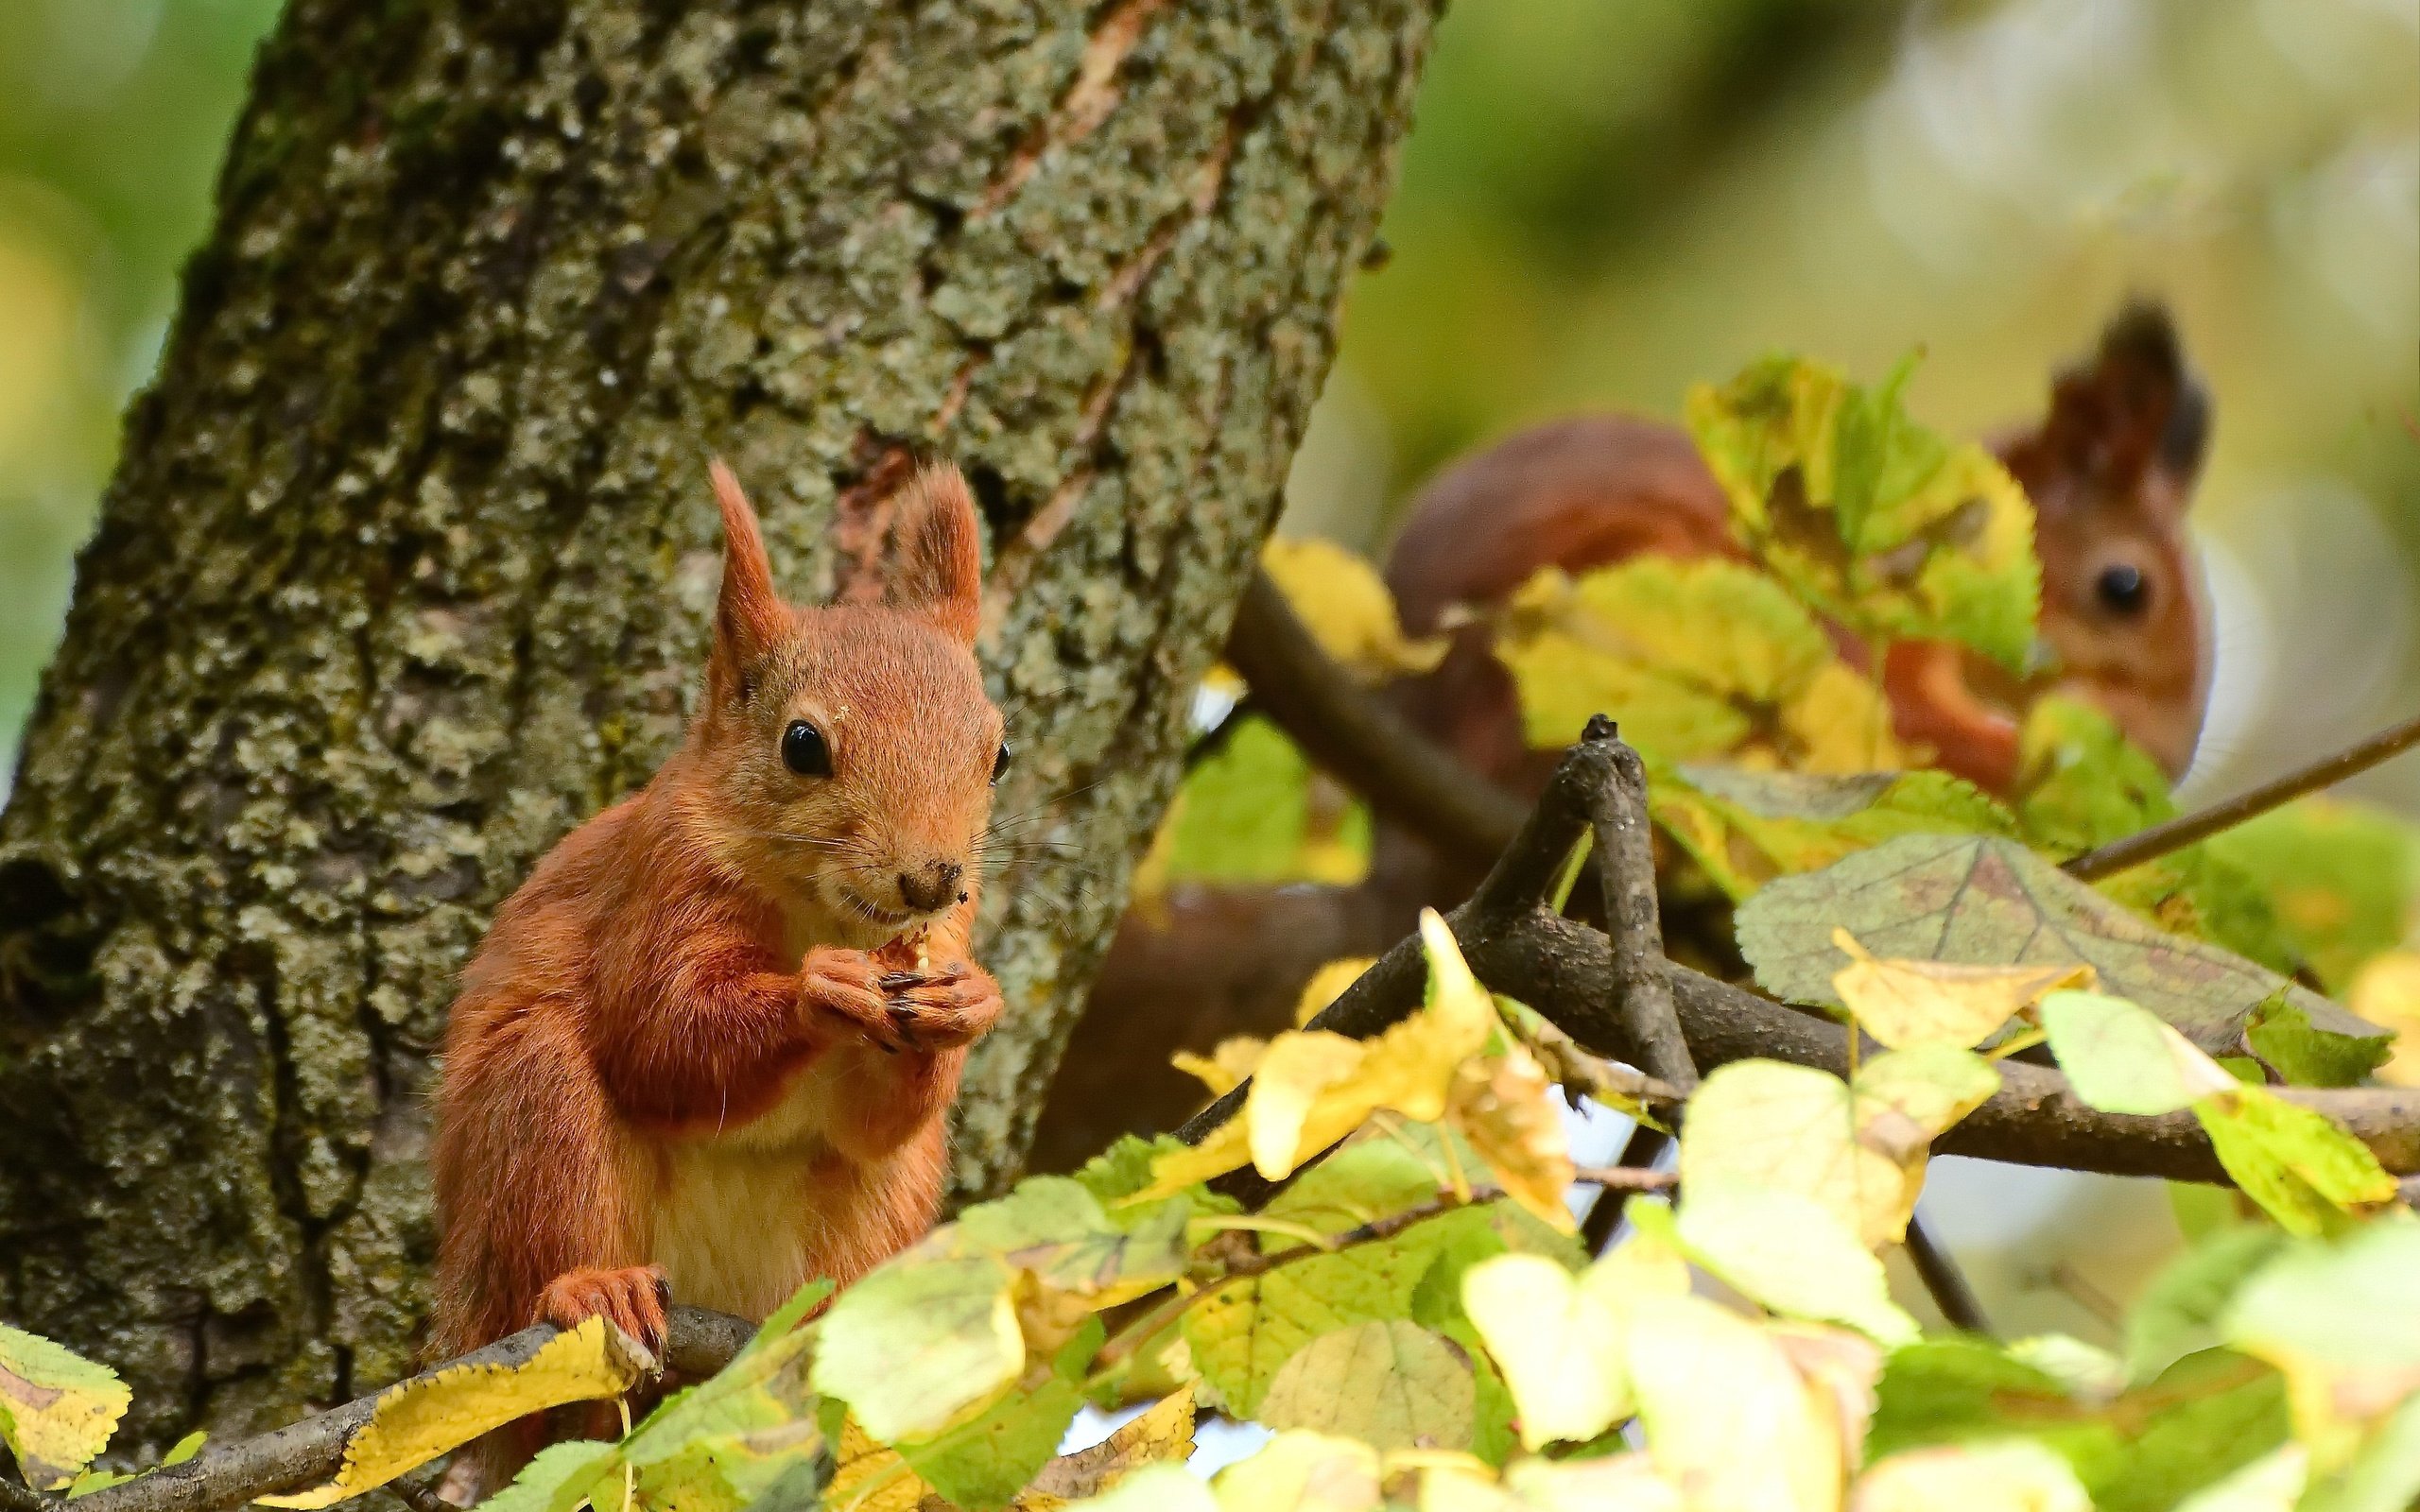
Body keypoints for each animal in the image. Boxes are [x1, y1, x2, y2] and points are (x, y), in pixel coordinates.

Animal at [430, 459, 1006, 1452]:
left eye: (999, 753)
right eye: (802, 744)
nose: (932, 879)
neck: (820, 909)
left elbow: (877, 1121)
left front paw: (969, 1002)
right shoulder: (662, 886)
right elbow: (662, 1043)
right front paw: (823, 989)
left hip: (880, 1206)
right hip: (533, 1121)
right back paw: (593, 1286)